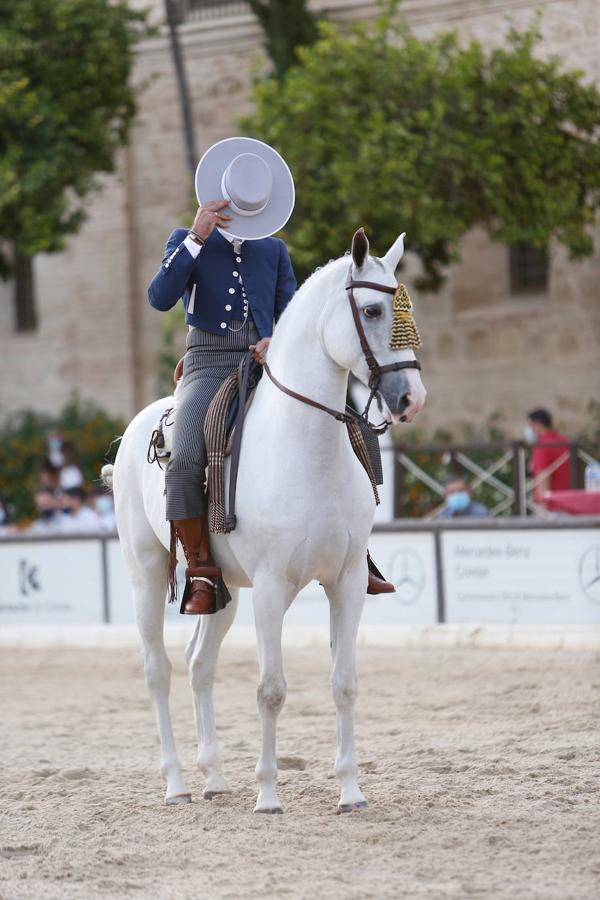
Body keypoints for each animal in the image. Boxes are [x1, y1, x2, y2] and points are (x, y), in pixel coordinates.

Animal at [108, 227, 426, 816]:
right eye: (373, 310)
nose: (411, 398)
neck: (307, 445)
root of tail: (136, 428)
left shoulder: (347, 581)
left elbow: (344, 683)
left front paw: (351, 791)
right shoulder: (274, 588)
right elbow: (271, 690)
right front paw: (269, 795)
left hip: (222, 589)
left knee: (199, 665)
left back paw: (213, 777)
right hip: (147, 572)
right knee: (158, 669)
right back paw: (177, 783)